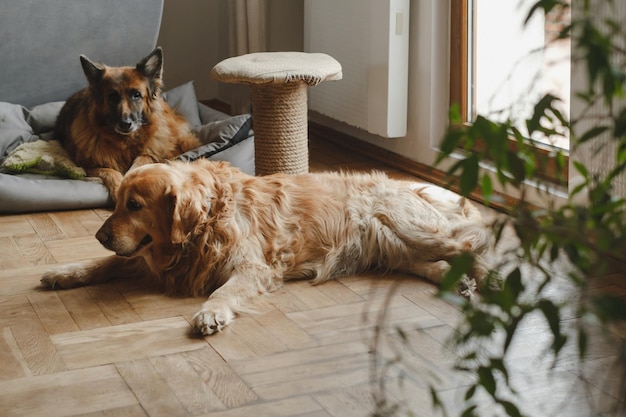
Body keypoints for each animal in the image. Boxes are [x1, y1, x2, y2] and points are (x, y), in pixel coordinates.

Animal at [54, 47, 200, 200]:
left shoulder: (153, 155)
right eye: (112, 97)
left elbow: (141, 161)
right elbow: (110, 171)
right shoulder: (87, 166)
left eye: (136, 95)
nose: (125, 124)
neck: (125, 142)